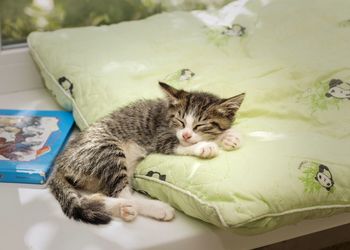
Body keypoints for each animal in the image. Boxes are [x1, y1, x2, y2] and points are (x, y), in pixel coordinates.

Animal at [48, 82, 246, 225]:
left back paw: (119, 209)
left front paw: (228, 137)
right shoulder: (160, 136)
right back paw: (155, 208)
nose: (186, 134)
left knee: (102, 194)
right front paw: (205, 146)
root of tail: (61, 161)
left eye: (200, 125)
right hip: (107, 149)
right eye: (180, 121)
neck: (167, 114)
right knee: (121, 193)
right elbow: (178, 144)